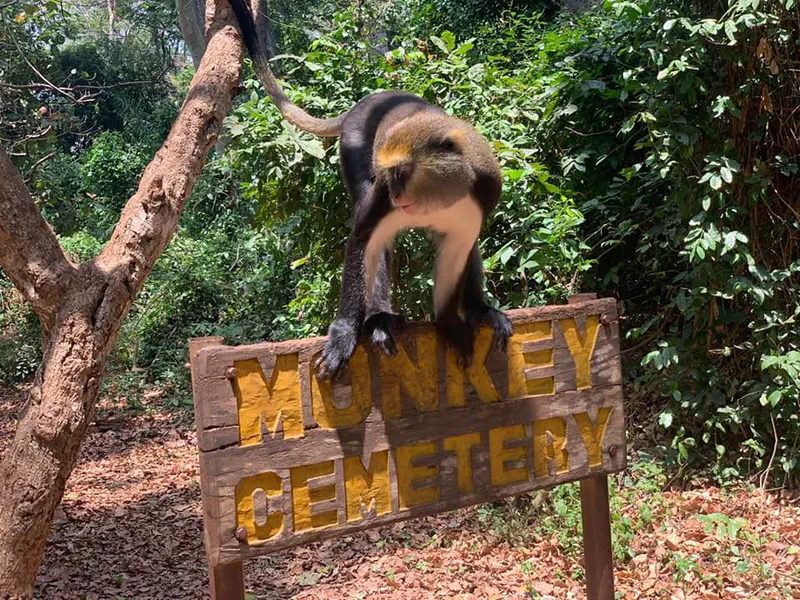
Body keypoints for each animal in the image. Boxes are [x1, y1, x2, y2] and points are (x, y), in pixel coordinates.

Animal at [230, 0, 512, 379]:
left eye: (403, 172)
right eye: (389, 176)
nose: (396, 195)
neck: (436, 198)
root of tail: (361, 106)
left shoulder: (484, 190)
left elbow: (459, 250)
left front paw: (451, 324)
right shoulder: (380, 196)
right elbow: (364, 239)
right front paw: (344, 334)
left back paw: (479, 310)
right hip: (353, 148)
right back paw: (379, 319)